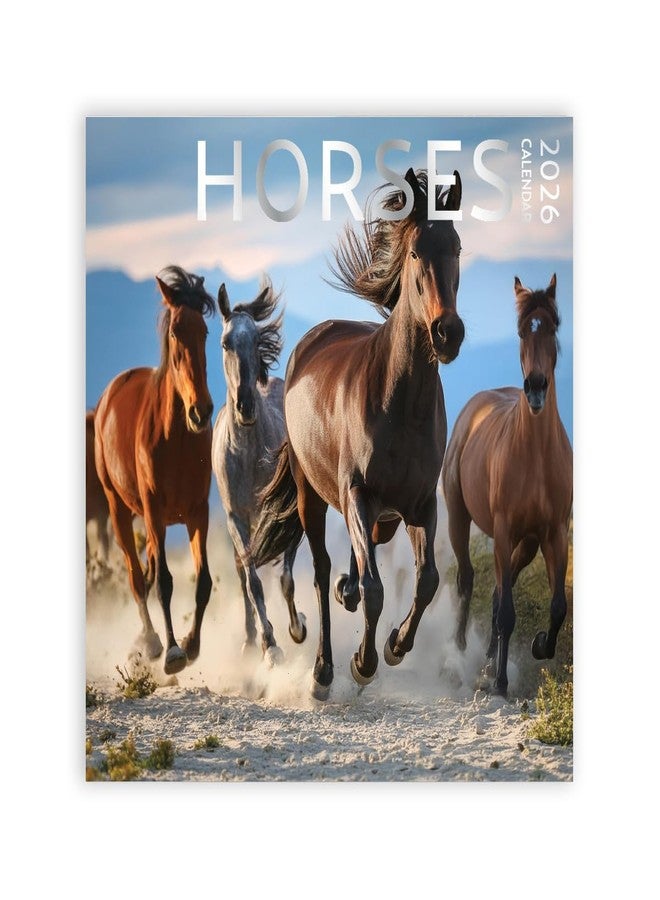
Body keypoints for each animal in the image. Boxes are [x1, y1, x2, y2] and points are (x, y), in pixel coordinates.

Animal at [94, 265, 216, 674]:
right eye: (176, 332)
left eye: (204, 331)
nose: (201, 411)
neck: (176, 436)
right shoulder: (154, 511)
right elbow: (163, 581)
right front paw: (173, 651)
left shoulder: (197, 512)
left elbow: (203, 581)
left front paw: (193, 644)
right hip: (119, 510)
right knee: (136, 577)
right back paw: (149, 642)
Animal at [251, 168, 464, 699]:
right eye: (416, 252)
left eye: (457, 247)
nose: (447, 333)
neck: (401, 404)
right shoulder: (358, 495)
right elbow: (374, 589)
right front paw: (363, 662)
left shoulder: (420, 503)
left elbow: (427, 581)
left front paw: (395, 645)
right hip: (312, 495)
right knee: (322, 571)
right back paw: (322, 671)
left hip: (380, 516)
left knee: (355, 564)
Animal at [441, 274, 573, 697]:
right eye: (521, 331)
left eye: (552, 327)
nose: (535, 387)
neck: (536, 457)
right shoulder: (502, 529)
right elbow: (506, 612)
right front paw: (499, 682)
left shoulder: (553, 533)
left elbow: (557, 607)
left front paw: (540, 645)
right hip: (459, 518)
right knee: (468, 579)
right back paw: (459, 651)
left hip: (526, 543)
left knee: (503, 585)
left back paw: (484, 656)